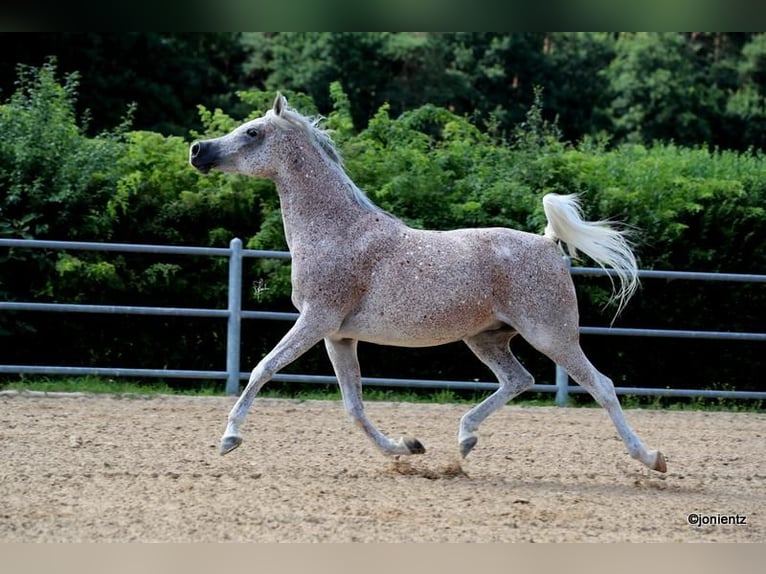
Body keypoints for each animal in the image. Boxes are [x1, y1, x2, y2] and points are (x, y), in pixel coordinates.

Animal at [190, 93, 664, 472]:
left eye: (252, 132)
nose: (197, 150)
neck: (337, 231)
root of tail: (549, 244)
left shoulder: (315, 321)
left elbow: (263, 368)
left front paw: (229, 438)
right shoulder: (337, 336)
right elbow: (354, 405)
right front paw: (406, 447)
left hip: (552, 335)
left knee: (601, 386)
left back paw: (651, 458)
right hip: (487, 338)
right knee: (519, 380)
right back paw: (465, 439)